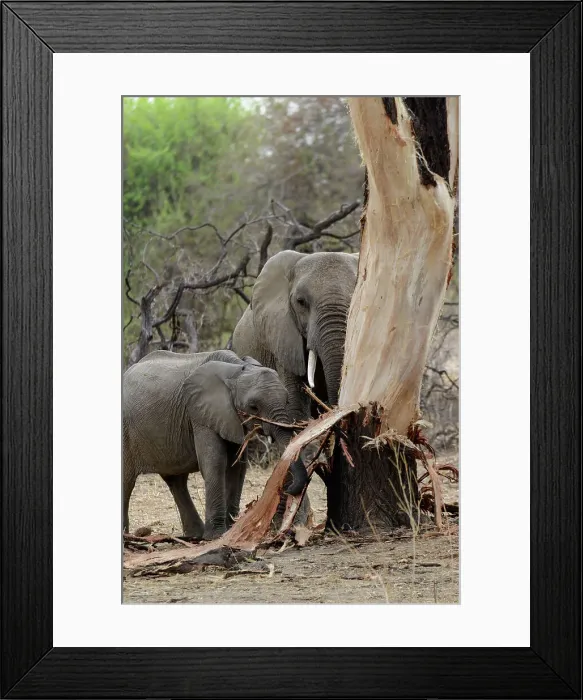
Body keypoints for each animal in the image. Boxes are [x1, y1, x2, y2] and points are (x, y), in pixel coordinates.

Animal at [123, 349, 307, 540]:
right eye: (253, 407)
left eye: (287, 401)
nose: (289, 489)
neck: (236, 370)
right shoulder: (200, 414)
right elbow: (215, 462)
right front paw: (216, 536)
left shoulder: (229, 417)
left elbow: (236, 467)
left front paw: (231, 530)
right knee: (127, 481)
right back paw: (127, 536)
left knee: (177, 481)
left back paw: (194, 536)